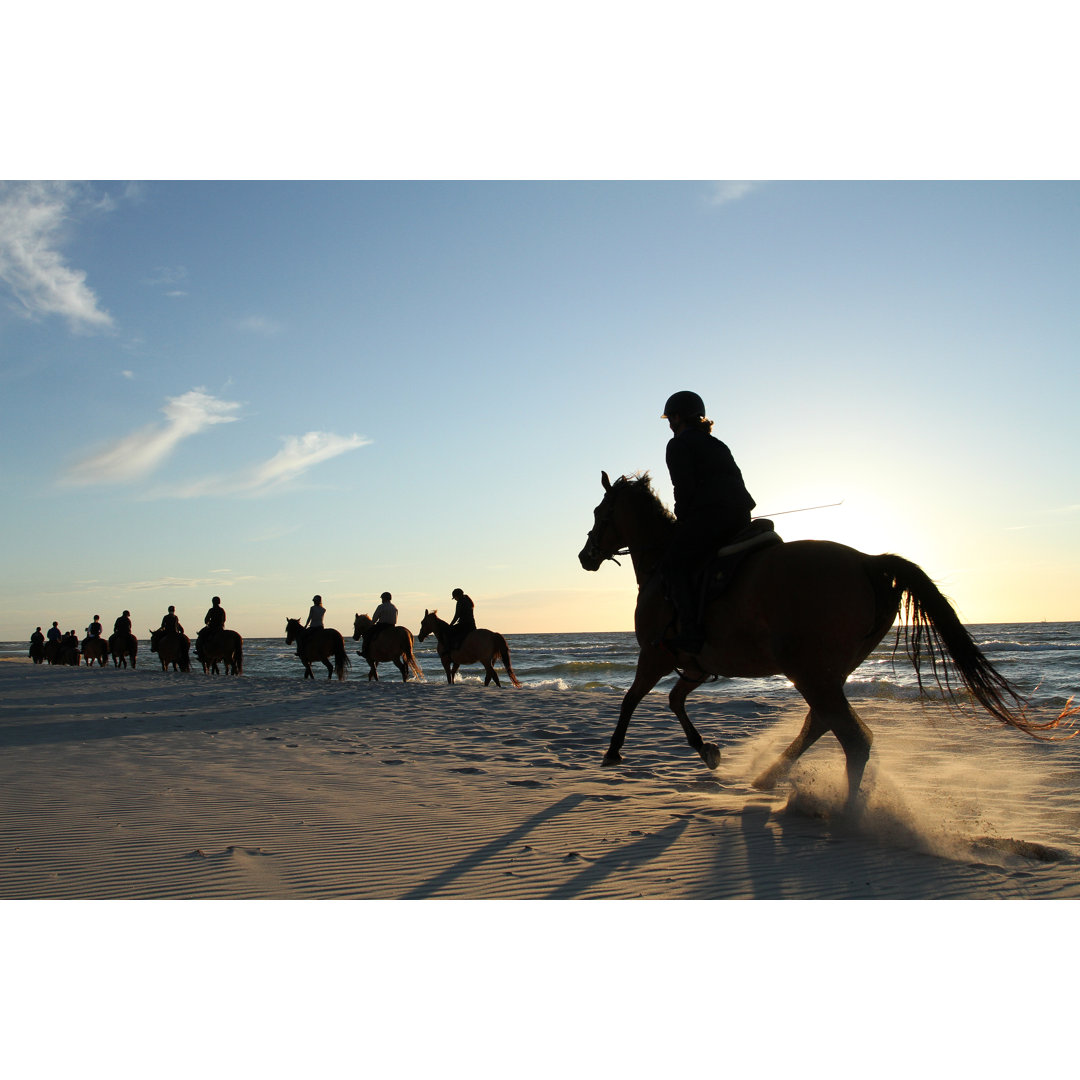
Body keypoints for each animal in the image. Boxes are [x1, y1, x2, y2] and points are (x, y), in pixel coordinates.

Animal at [578, 468, 1067, 807]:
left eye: (601, 513)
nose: (585, 556)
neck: (663, 564)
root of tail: (868, 561)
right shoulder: (696, 666)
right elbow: (674, 701)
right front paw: (707, 751)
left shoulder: (655, 656)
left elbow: (633, 700)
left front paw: (613, 752)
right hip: (826, 672)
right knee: (824, 723)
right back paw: (772, 778)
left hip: (808, 670)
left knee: (851, 737)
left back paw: (846, 814)